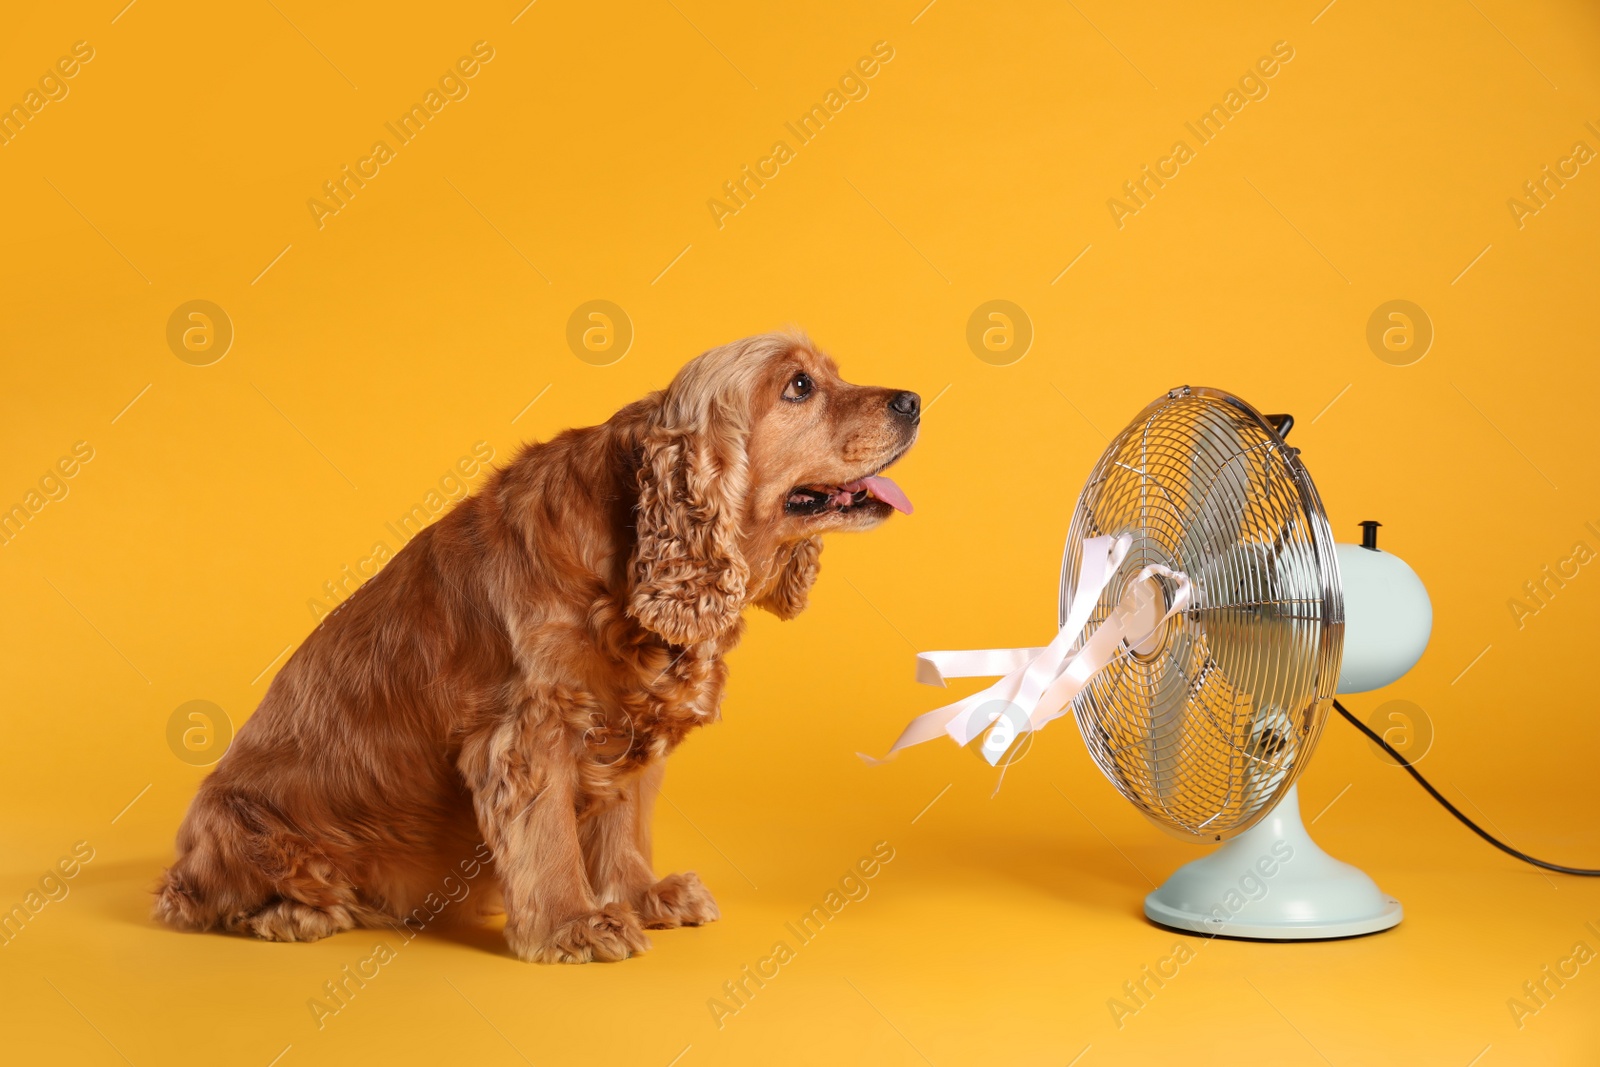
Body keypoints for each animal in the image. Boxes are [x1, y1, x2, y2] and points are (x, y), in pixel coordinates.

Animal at [156, 329, 921, 966]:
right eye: (799, 386)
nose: (913, 399)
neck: (628, 548)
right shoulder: (528, 729)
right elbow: (549, 836)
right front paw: (572, 925)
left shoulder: (630, 726)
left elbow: (623, 824)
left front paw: (640, 896)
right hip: (240, 825)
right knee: (202, 901)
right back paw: (294, 915)